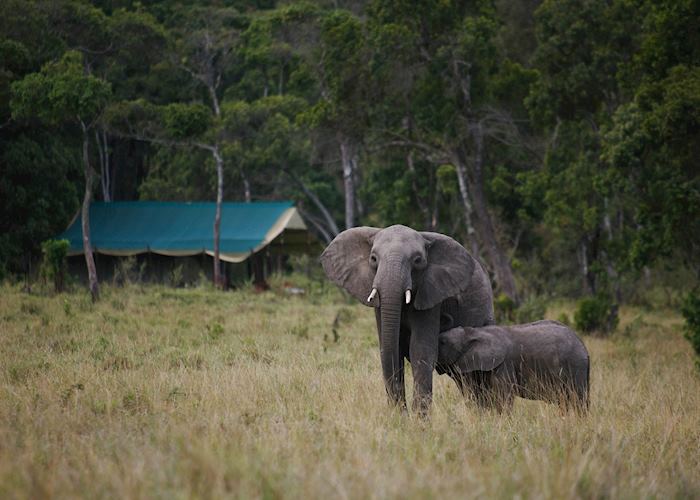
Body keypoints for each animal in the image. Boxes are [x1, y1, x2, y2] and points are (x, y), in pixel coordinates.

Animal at [320, 226, 494, 414]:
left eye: (417, 260)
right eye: (373, 259)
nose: (402, 412)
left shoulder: (431, 295)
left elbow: (420, 350)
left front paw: (419, 419)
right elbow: (391, 350)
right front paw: (398, 417)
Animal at [438, 322, 592, 412]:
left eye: (442, 342)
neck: (473, 332)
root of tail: (584, 348)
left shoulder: (504, 365)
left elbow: (503, 397)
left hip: (575, 366)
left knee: (578, 400)